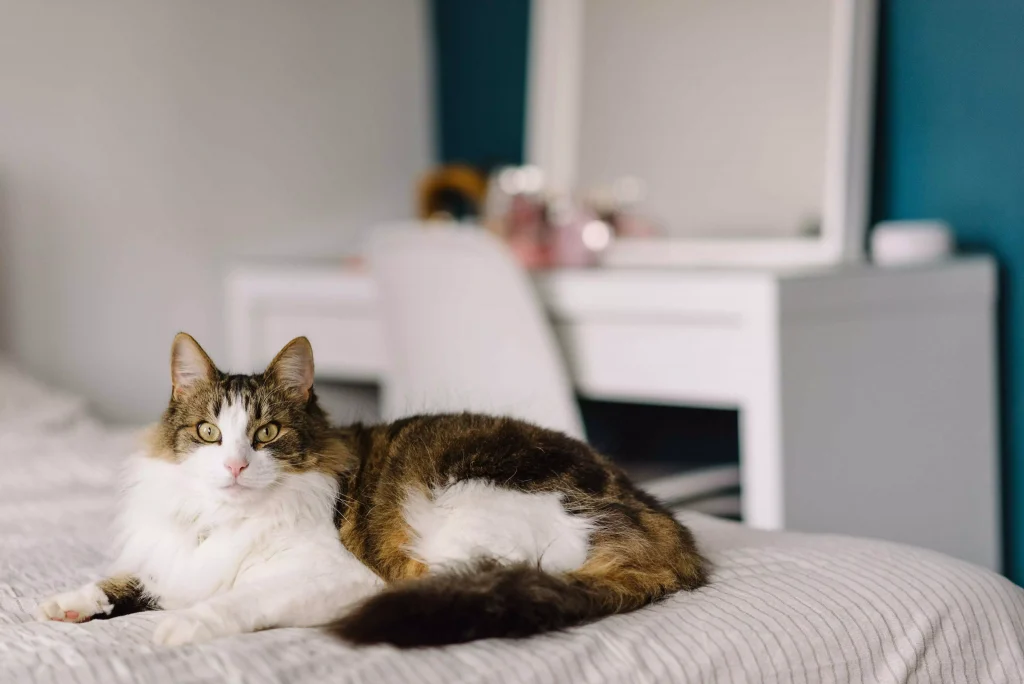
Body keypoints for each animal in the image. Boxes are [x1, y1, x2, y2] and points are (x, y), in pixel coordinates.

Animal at [34, 331, 704, 647]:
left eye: (266, 433)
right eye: (208, 432)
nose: (236, 467)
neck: (223, 521)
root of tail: (672, 535)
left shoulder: (339, 575)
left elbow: (236, 600)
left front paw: (182, 627)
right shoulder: (172, 559)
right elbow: (124, 580)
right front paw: (66, 603)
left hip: (458, 513)